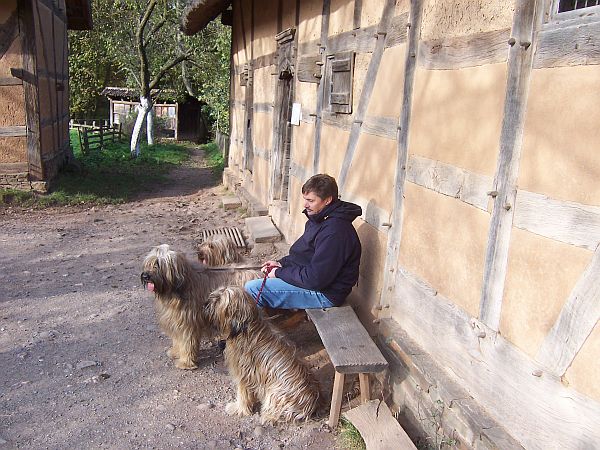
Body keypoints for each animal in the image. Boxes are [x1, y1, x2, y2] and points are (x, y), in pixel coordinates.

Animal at [204, 286, 321, 424]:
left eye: (218, 300)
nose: (205, 304)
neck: (245, 328)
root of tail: (311, 404)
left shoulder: (244, 374)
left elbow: (242, 394)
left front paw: (238, 408)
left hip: (275, 393)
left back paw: (268, 416)